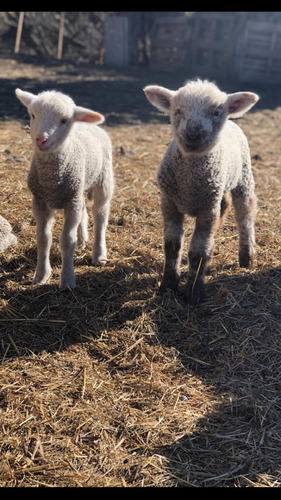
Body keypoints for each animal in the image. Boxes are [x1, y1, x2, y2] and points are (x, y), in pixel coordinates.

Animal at [15, 89, 114, 290]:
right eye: (32, 115)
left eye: (64, 120)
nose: (41, 139)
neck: (52, 179)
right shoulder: (41, 201)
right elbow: (43, 238)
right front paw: (41, 275)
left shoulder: (70, 201)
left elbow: (67, 240)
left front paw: (67, 280)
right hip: (79, 187)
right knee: (84, 210)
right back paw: (83, 239)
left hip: (103, 180)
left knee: (100, 215)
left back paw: (99, 254)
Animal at [144, 78, 258, 304]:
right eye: (177, 111)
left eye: (216, 112)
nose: (193, 133)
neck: (190, 184)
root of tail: (233, 122)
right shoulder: (169, 203)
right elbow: (172, 246)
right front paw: (168, 285)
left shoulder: (207, 210)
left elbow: (198, 251)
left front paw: (193, 292)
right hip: (219, 190)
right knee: (225, 206)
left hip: (243, 178)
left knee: (245, 216)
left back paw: (246, 257)